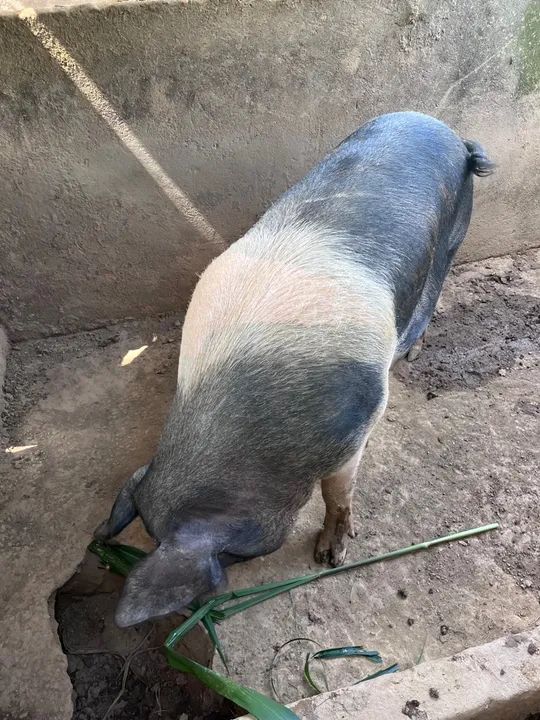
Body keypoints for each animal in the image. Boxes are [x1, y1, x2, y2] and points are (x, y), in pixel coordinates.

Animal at [95, 111, 494, 627]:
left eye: (231, 553)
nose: (206, 602)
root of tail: (448, 131)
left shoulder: (358, 426)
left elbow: (337, 495)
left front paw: (330, 557)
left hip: (454, 232)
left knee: (435, 286)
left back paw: (412, 352)